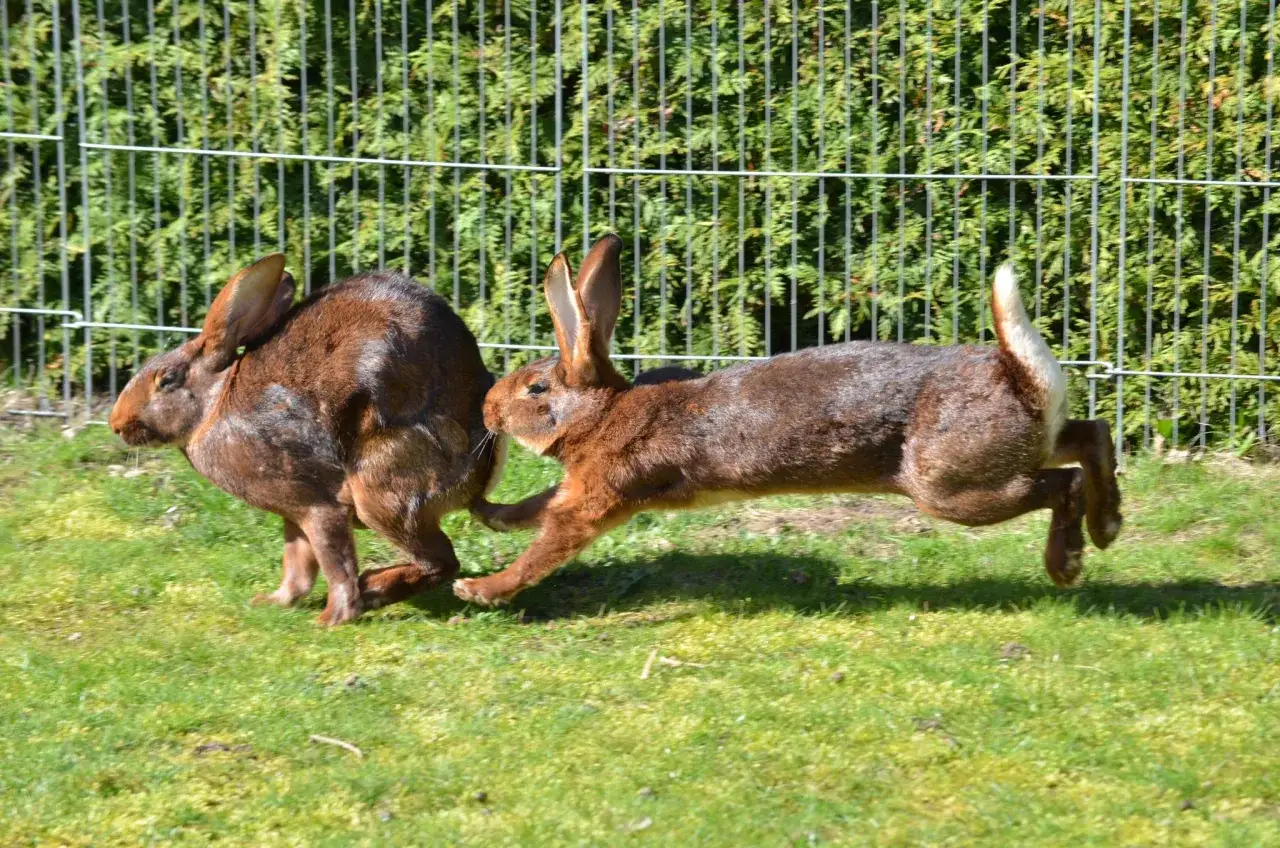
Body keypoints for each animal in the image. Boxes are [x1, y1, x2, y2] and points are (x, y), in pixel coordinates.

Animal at [108, 254, 505, 625]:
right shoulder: (292, 511)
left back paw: (371, 588)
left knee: (440, 561)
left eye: (167, 380)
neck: (213, 406)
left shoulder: (319, 505)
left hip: (382, 489)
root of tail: (480, 469)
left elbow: (335, 565)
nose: (116, 423)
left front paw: (331, 619)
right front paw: (272, 602)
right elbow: (297, 567)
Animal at [454, 234, 1122, 607]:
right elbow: (535, 507)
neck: (603, 412)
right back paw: (1107, 526)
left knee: (1061, 482)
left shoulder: (599, 495)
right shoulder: (577, 485)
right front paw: (489, 513)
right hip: (1020, 444)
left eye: (537, 388)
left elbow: (549, 542)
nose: (486, 407)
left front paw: (481, 590)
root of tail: (1020, 376)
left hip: (950, 486)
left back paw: (1067, 562)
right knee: (1089, 435)